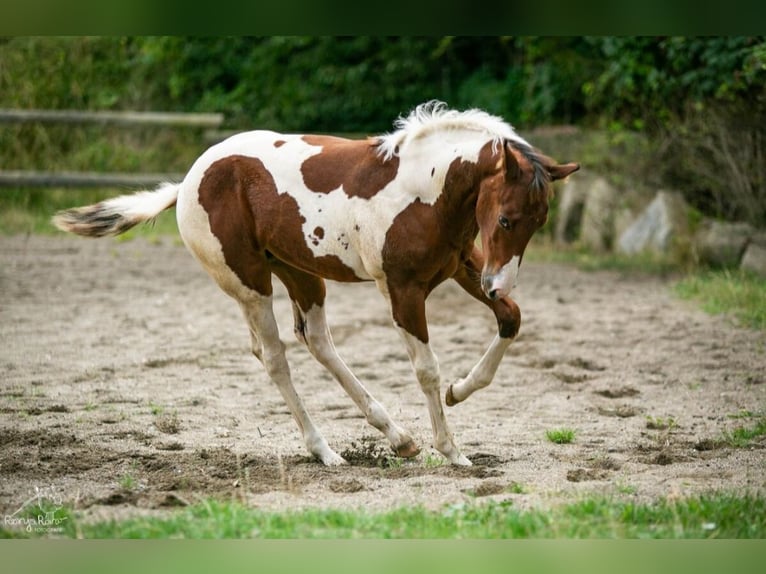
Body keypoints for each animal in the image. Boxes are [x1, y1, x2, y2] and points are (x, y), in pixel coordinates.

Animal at [54, 102, 580, 468]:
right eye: (506, 218)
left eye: (539, 221)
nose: (498, 284)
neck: (426, 190)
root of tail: (186, 182)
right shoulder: (404, 290)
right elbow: (427, 370)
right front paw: (452, 450)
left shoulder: (461, 266)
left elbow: (511, 319)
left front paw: (460, 389)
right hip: (250, 283)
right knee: (274, 357)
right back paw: (325, 451)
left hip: (301, 273)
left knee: (317, 340)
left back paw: (398, 438)